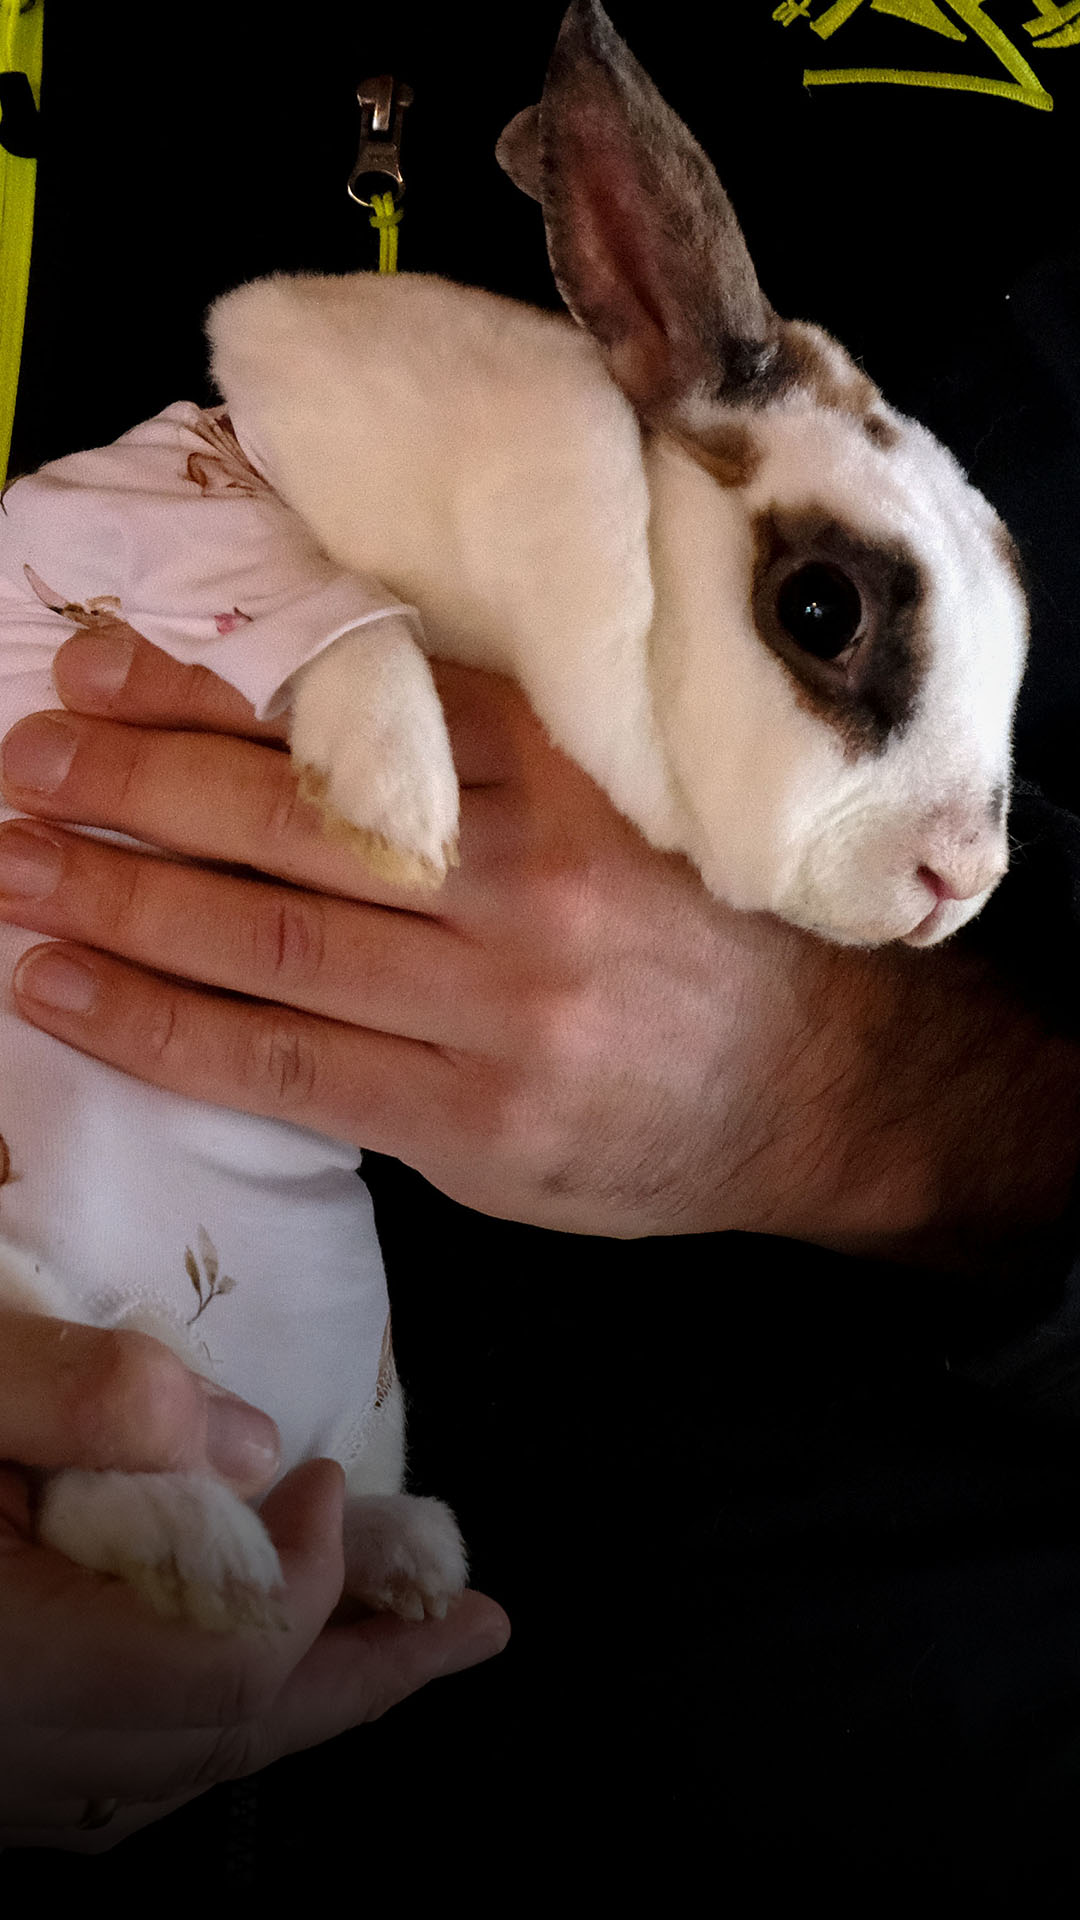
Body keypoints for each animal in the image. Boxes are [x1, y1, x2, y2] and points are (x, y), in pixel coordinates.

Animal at [12, 0, 1027, 1636]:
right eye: (821, 607)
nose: (963, 877)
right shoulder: (133, 519)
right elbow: (310, 594)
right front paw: (398, 807)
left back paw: (385, 1557)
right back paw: (194, 1549)